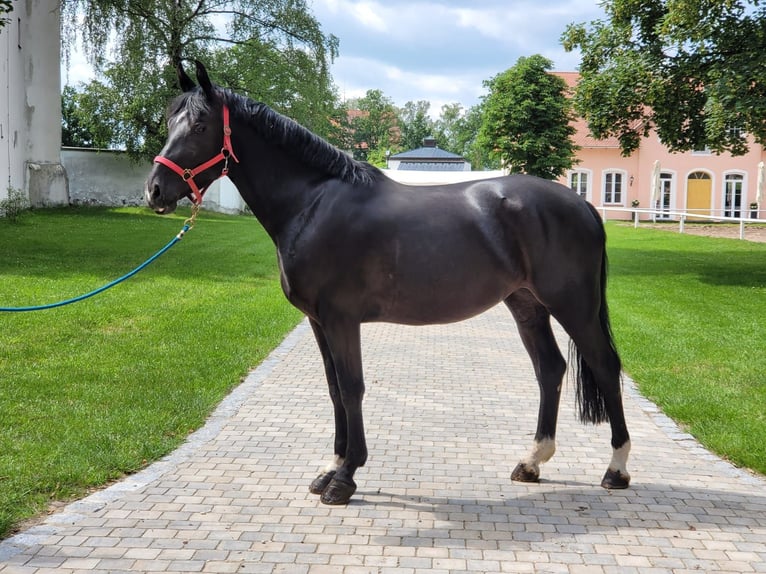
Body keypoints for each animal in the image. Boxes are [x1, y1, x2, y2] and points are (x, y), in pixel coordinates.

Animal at [147, 60, 632, 506]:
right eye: (170, 122)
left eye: (201, 125)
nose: (155, 190)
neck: (314, 204)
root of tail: (583, 206)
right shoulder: (318, 322)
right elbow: (333, 388)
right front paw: (331, 468)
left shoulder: (341, 319)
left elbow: (351, 388)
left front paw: (345, 477)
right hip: (527, 305)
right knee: (549, 369)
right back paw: (531, 462)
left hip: (574, 307)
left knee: (606, 367)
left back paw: (616, 469)